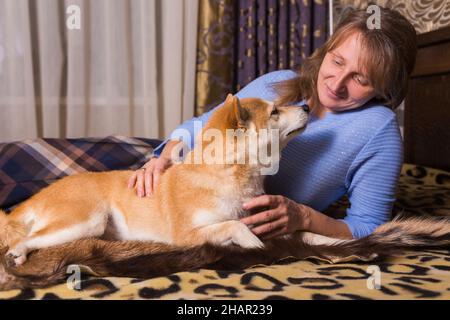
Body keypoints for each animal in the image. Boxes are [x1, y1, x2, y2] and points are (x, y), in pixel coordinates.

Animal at [0, 95, 310, 268]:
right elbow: (235, 225)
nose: (307, 105)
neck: (227, 173)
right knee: (24, 239)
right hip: (86, 220)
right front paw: (258, 247)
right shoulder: (185, 237)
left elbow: (299, 233)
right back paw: (18, 253)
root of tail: (42, 193)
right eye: (275, 111)